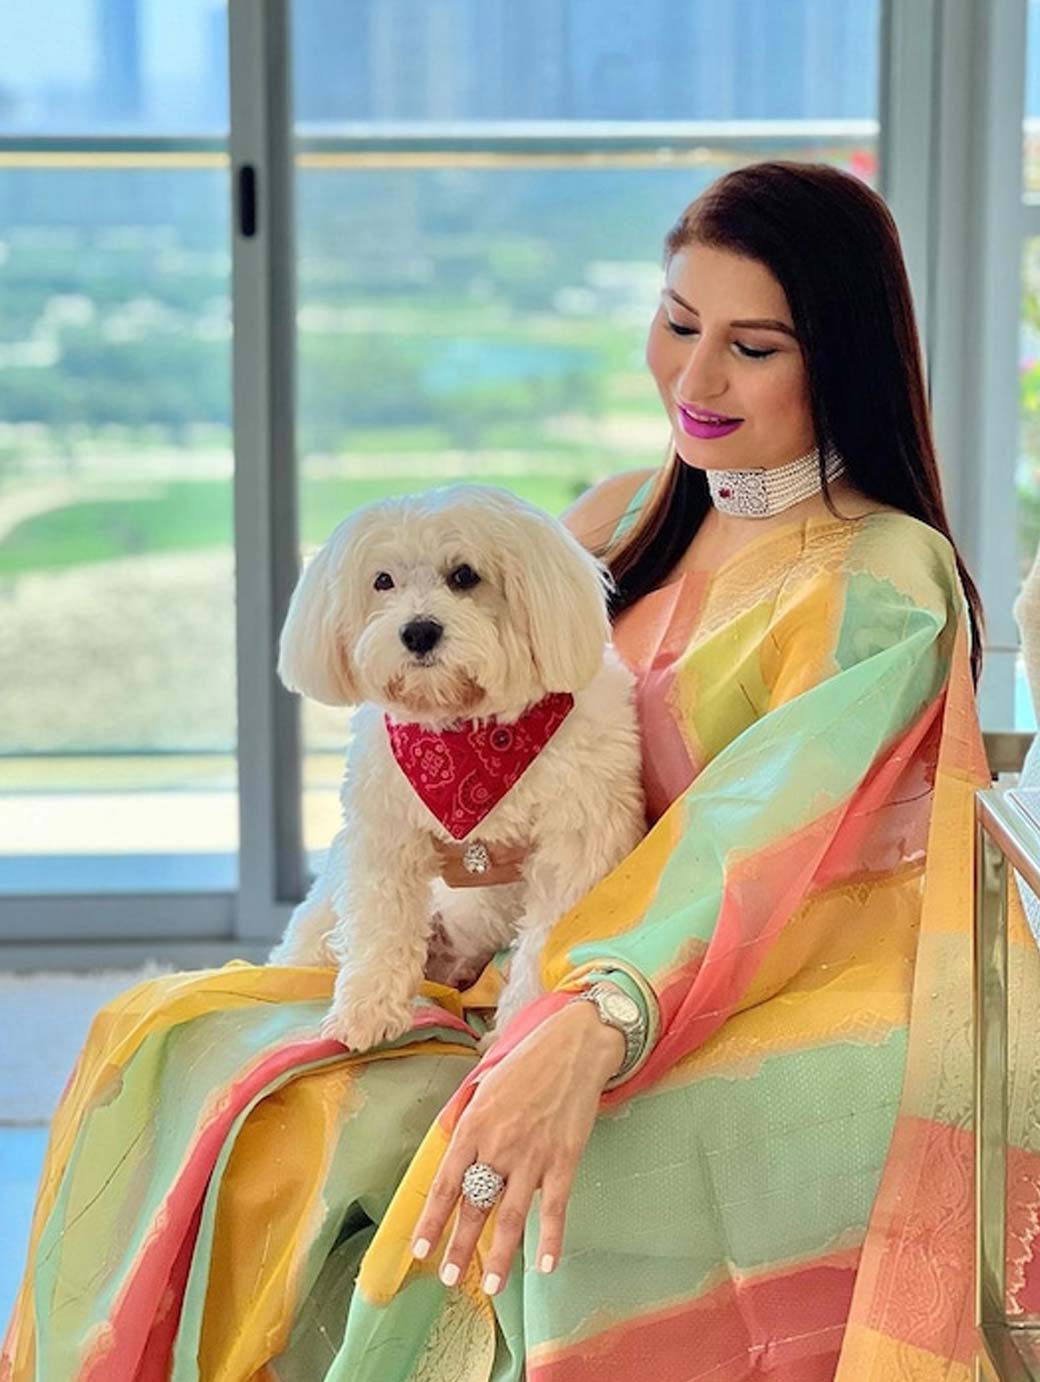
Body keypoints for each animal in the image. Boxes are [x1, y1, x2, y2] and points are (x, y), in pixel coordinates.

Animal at [269, 483, 646, 1052]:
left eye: (465, 575)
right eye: (383, 581)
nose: (419, 632)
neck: (467, 734)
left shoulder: (577, 844)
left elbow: (544, 943)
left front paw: (515, 1029)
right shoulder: (385, 836)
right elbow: (381, 925)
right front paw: (366, 1010)